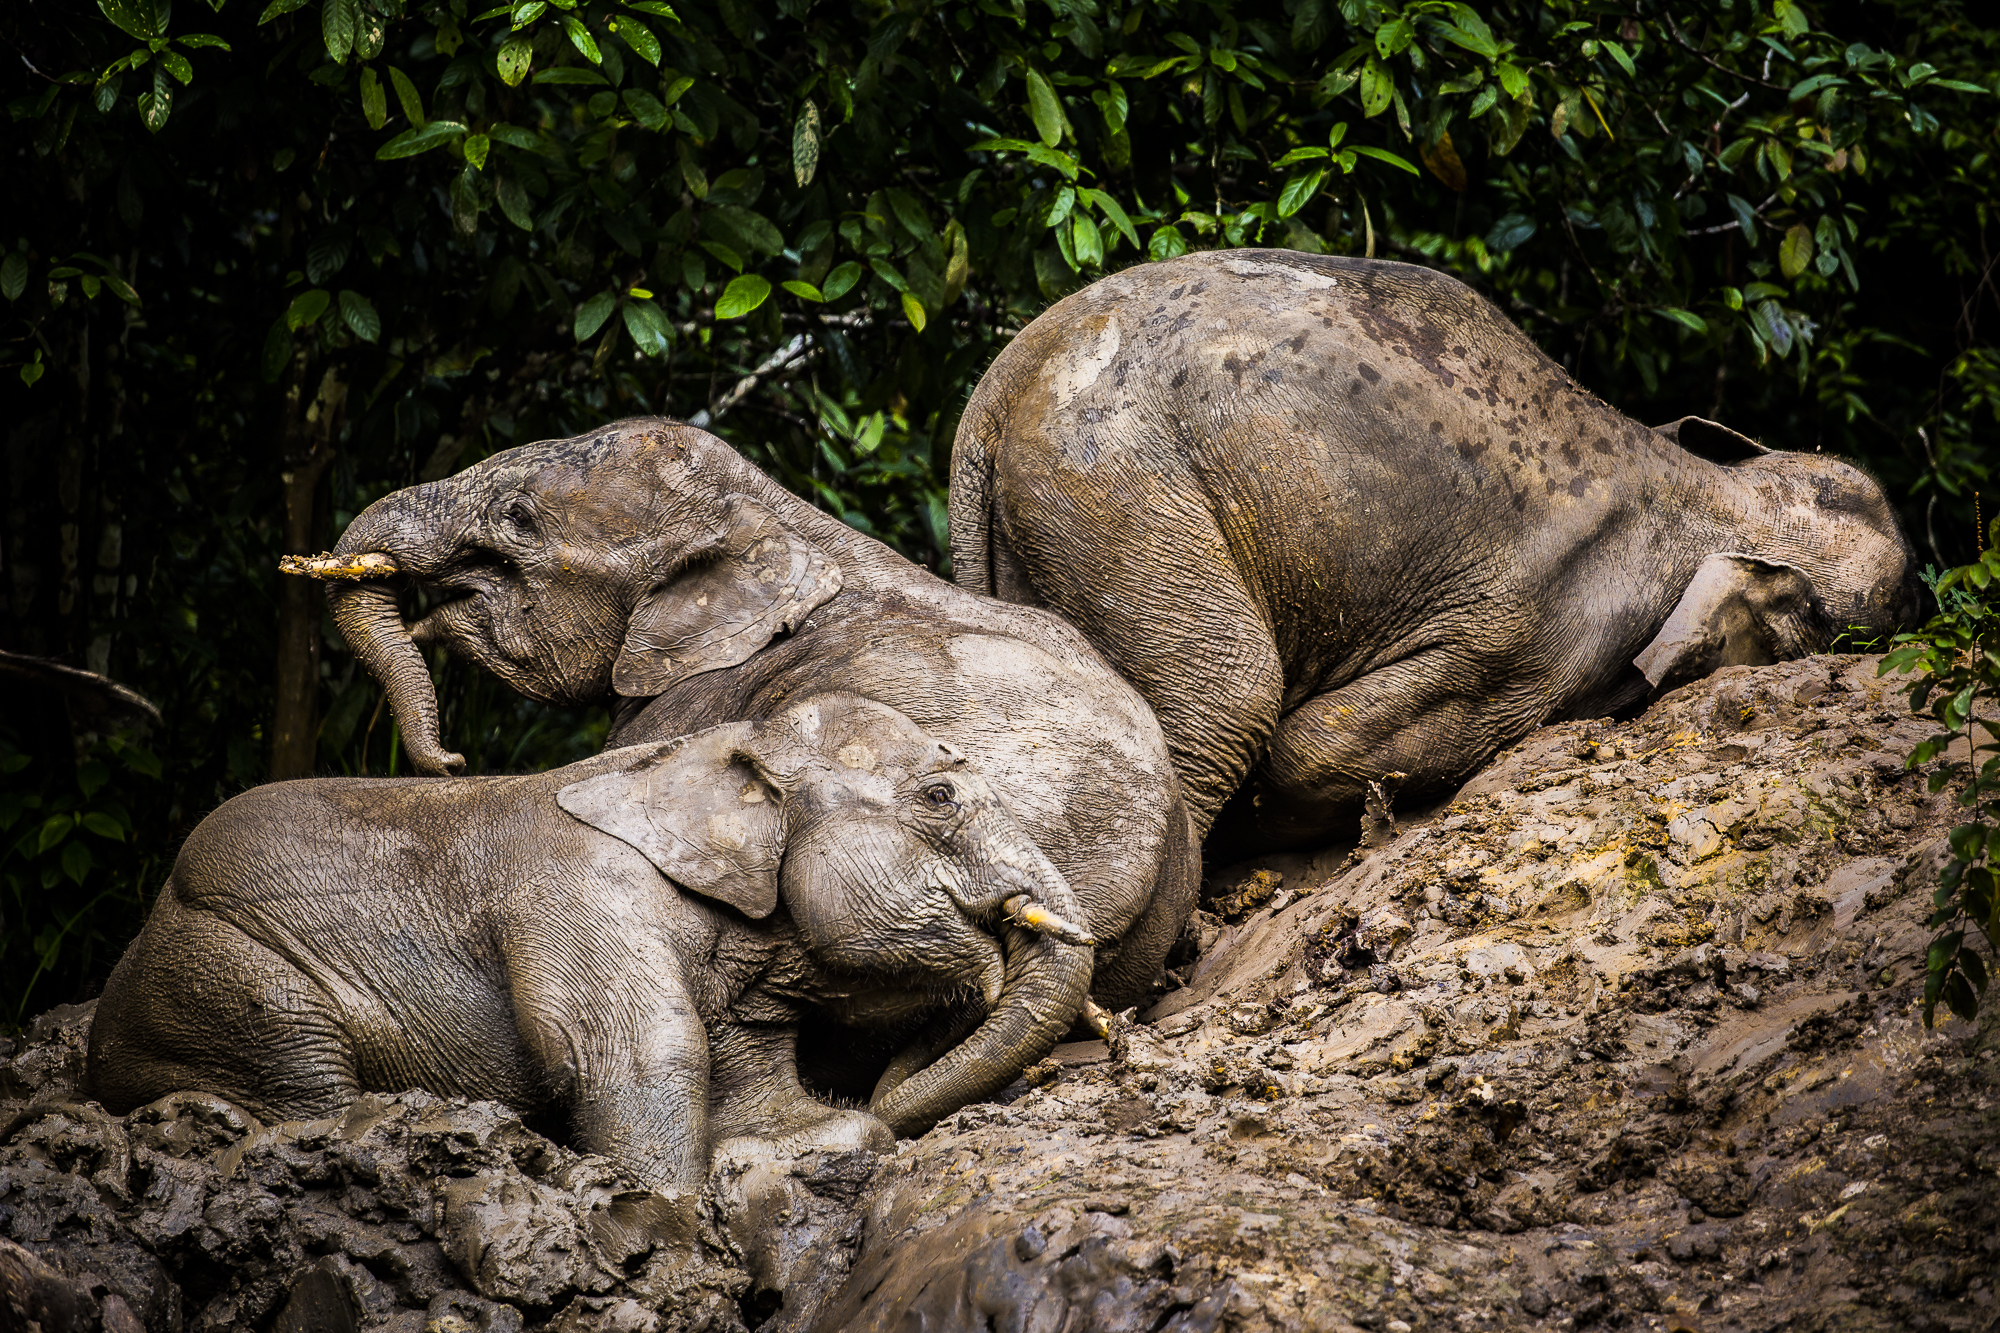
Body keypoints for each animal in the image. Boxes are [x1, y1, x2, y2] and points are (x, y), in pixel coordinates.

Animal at [86, 694, 1094, 1235]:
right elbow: (644, 1051)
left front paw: (795, 1143)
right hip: (228, 969)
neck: (714, 750)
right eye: (940, 797)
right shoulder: (578, 897)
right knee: (302, 1070)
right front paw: (670, 1209)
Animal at [950, 249, 1922, 851]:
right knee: (1229, 698)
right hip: (1117, 484)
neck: (1708, 488)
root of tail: (993, 399)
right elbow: (1312, 749)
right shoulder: (1536, 635)